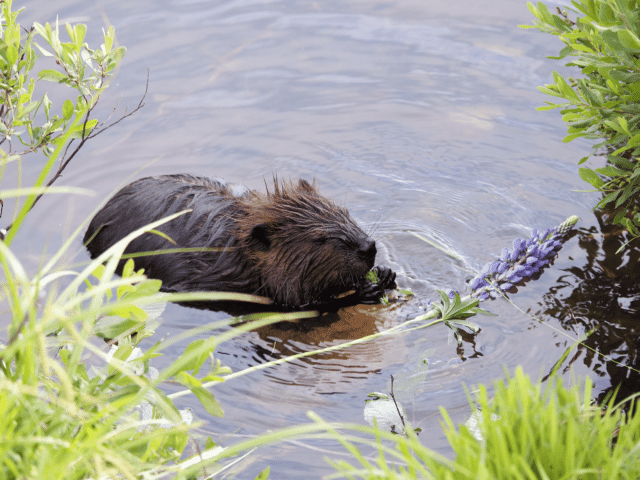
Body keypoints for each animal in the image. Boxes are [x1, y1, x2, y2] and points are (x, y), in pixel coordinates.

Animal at [84, 174, 396, 310]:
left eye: (344, 211)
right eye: (320, 239)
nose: (368, 248)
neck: (233, 249)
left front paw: (385, 273)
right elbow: (296, 302)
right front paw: (365, 289)